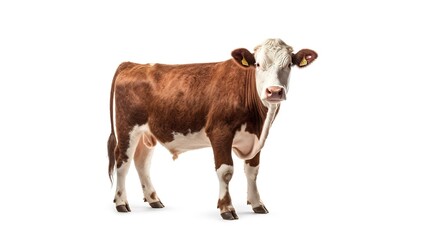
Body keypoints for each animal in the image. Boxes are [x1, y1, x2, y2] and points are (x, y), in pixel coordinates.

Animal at [105, 39, 316, 219]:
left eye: (289, 65)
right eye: (257, 64)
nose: (274, 91)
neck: (259, 120)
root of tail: (133, 64)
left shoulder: (256, 137)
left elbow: (252, 171)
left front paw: (257, 204)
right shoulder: (219, 132)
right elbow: (226, 171)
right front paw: (226, 208)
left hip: (147, 133)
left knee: (142, 162)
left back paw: (153, 199)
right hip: (127, 128)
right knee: (122, 162)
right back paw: (121, 202)